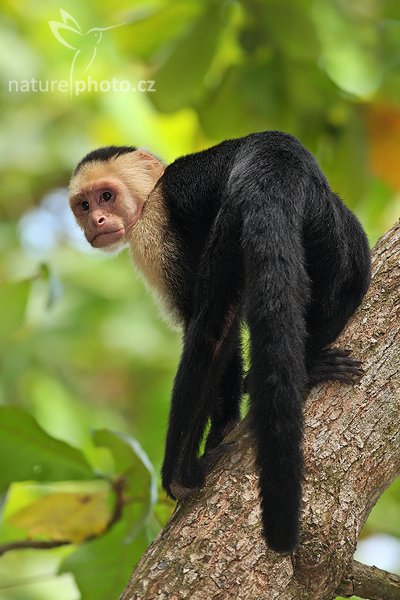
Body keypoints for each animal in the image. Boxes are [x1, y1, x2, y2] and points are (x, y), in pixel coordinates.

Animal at [69, 131, 372, 552]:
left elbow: (212, 331)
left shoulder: (156, 226)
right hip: (328, 228)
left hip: (236, 216)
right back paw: (309, 359)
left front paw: (181, 474)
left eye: (106, 197)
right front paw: (222, 428)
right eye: (84, 205)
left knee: (213, 320)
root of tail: (276, 159)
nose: (95, 221)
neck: (152, 192)